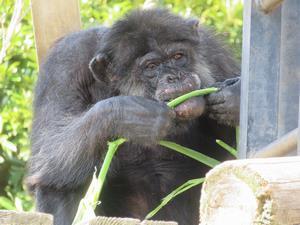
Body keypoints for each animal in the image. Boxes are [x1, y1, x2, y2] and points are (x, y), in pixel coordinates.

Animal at [27, 8, 240, 225]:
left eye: (178, 56)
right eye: (151, 67)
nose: (175, 76)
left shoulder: (214, 52)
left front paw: (236, 96)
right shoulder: (65, 64)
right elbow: (49, 146)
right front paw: (131, 114)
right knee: (56, 184)